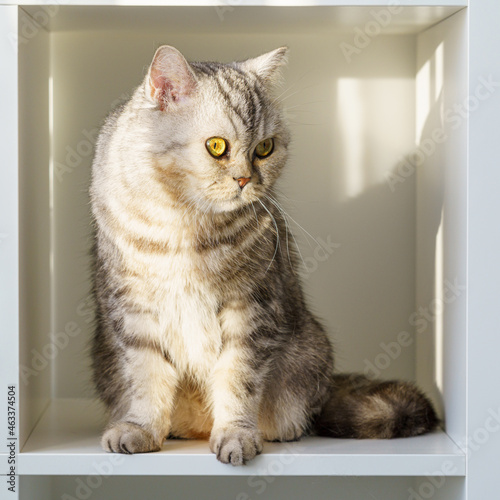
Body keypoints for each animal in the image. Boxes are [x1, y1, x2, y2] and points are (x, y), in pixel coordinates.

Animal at [91, 45, 438, 466]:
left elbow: (238, 381)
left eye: (264, 148)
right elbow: (146, 378)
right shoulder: (134, 310)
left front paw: (236, 435)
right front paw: (141, 429)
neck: (185, 223)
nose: (245, 180)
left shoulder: (252, 309)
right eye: (217, 146)